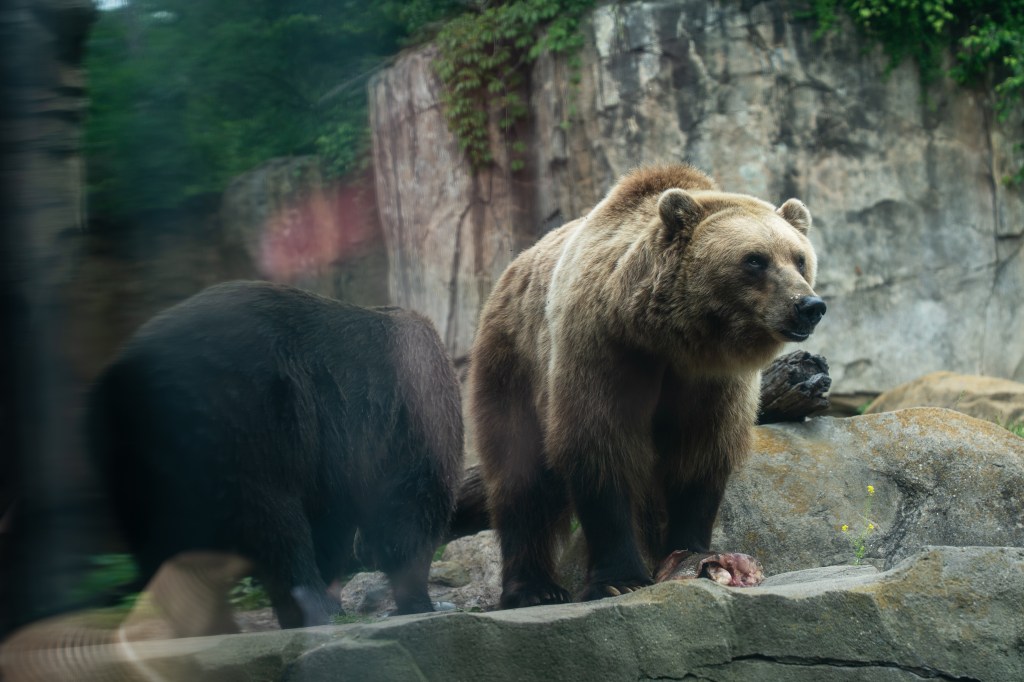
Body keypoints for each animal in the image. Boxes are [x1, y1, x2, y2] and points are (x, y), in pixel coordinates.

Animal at [87, 280, 463, 629]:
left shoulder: (333, 456)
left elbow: (333, 525)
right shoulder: (403, 423)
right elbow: (408, 513)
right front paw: (419, 600)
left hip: (132, 451)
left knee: (163, 540)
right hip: (248, 414)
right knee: (275, 522)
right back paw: (309, 610)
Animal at [467, 164, 825, 608]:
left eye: (799, 258)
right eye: (755, 259)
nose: (809, 306)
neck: (670, 339)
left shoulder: (712, 383)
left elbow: (701, 456)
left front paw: (690, 553)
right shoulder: (606, 351)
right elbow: (601, 446)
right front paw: (620, 579)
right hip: (512, 363)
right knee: (520, 475)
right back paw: (534, 588)